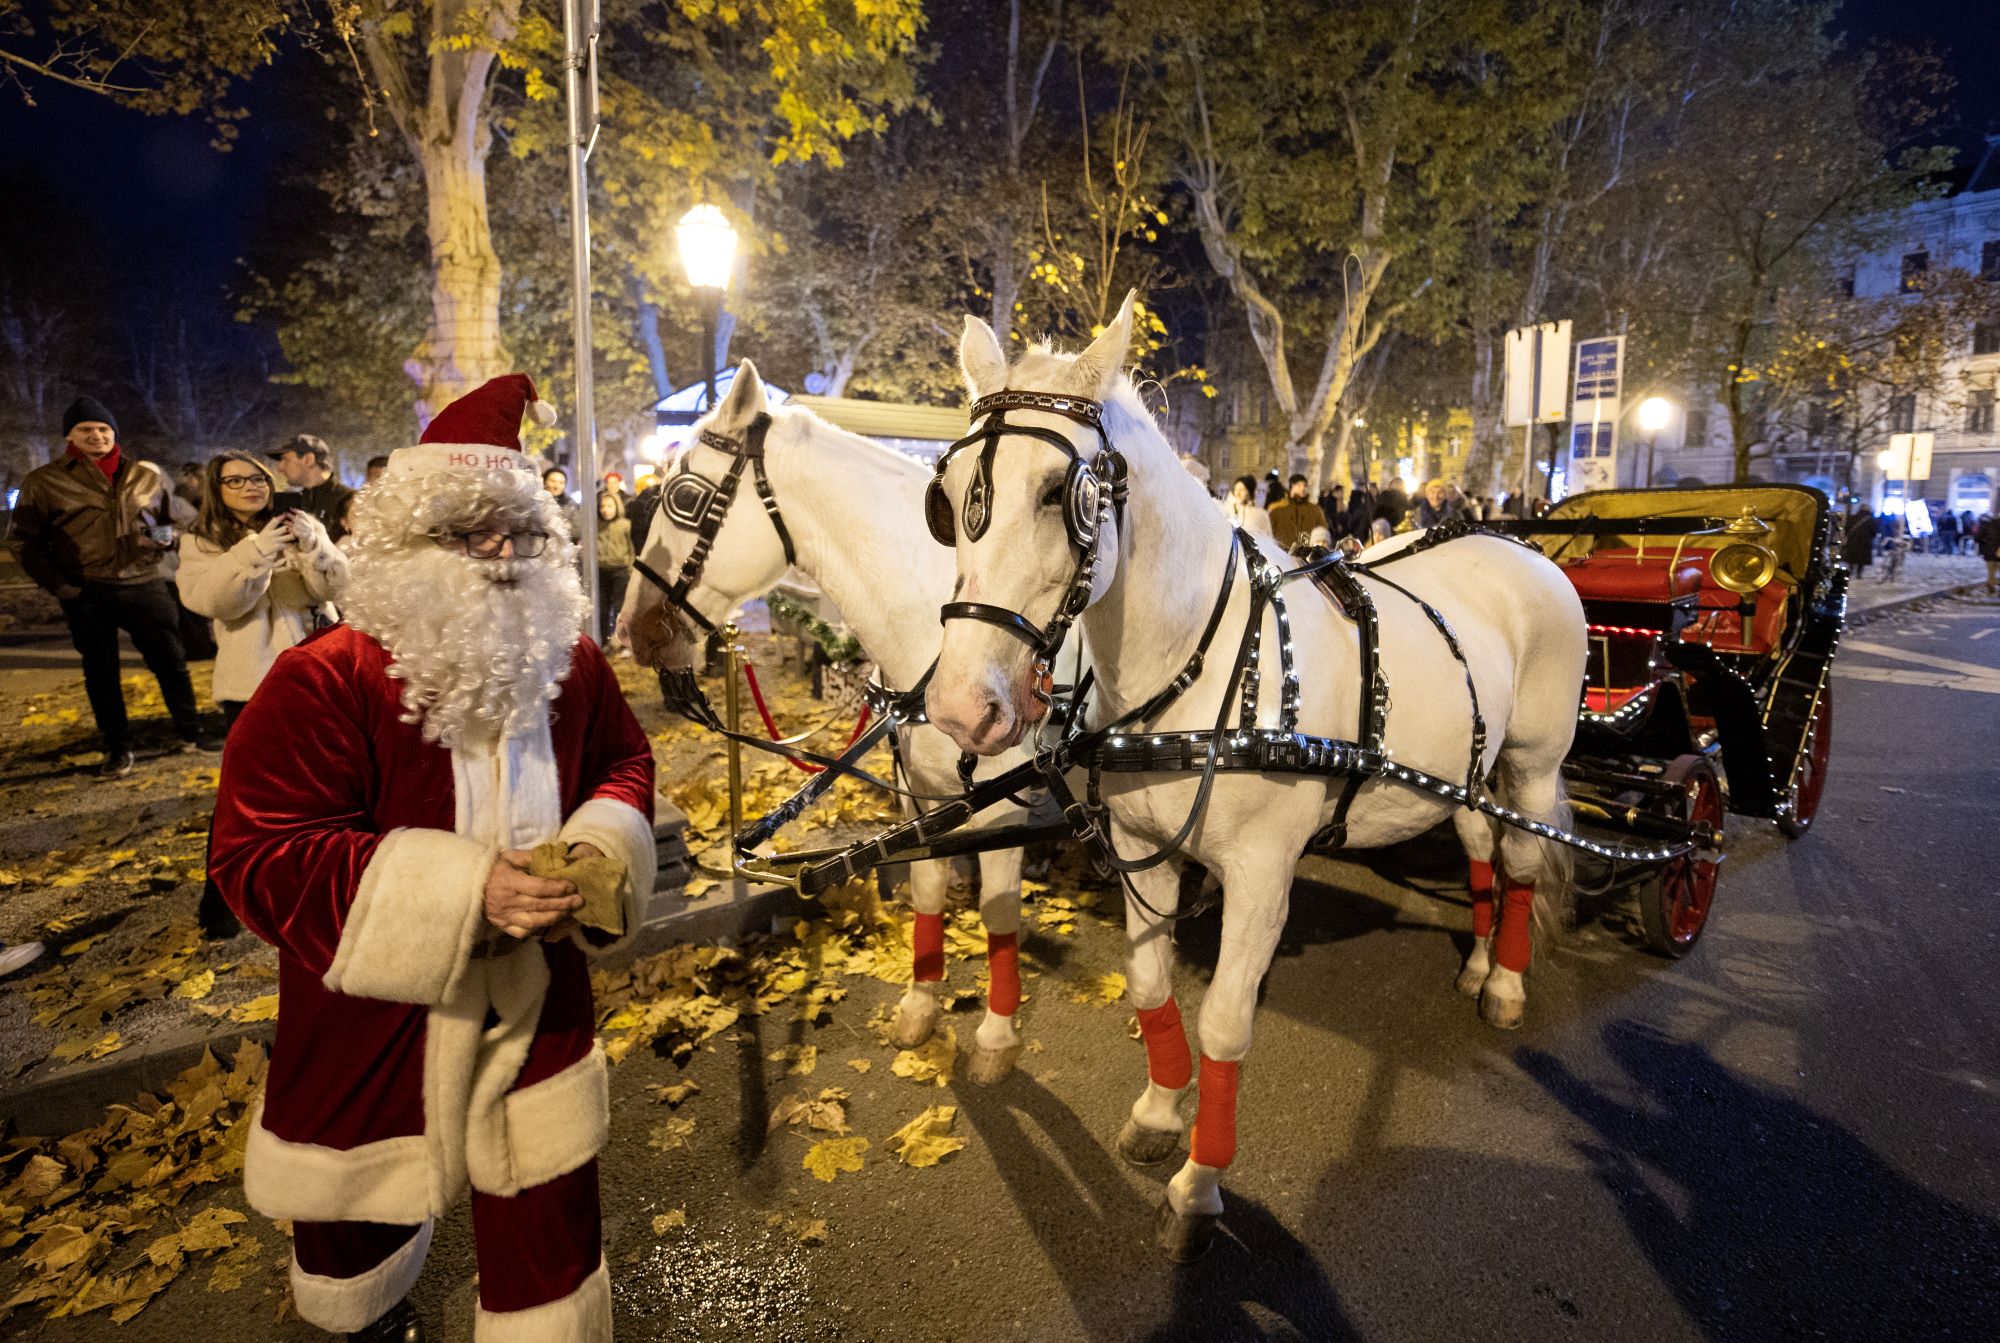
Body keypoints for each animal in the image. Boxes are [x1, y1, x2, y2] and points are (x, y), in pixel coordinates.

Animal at [624, 361, 1064, 1087]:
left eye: (683, 494)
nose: (633, 628)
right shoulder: (923, 794)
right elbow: (926, 890)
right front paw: (920, 1007)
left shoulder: (1004, 808)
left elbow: (998, 912)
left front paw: (997, 1036)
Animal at [924, 295, 1592, 1263]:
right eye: (947, 499)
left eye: (1062, 493)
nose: (959, 705)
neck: (1195, 672)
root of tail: (1522, 547)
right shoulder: (1146, 849)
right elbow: (1152, 988)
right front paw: (1160, 1109)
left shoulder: (1262, 875)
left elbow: (1224, 1023)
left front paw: (1199, 1183)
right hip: (1466, 771)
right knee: (1480, 846)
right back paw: (1475, 961)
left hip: (1536, 765)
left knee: (1526, 862)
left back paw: (1505, 982)